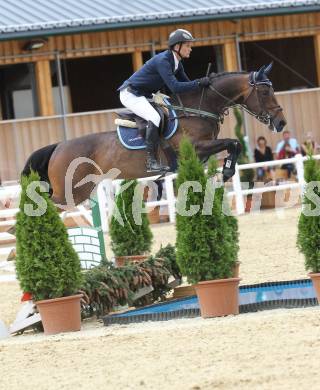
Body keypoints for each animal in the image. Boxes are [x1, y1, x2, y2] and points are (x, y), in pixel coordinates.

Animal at [23, 64, 286, 207]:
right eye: (264, 92)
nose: (281, 123)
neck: (197, 108)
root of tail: (58, 147)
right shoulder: (196, 146)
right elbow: (233, 142)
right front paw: (229, 171)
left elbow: (232, 145)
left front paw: (227, 170)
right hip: (68, 193)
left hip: (80, 190)